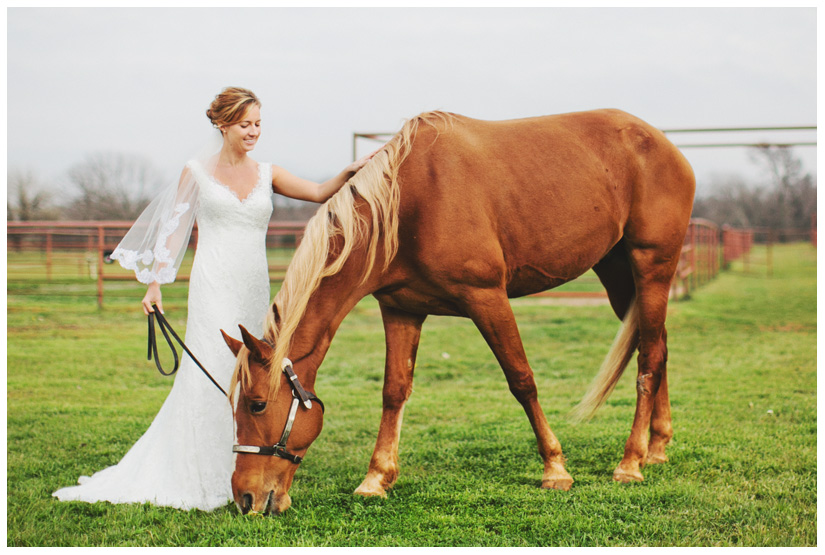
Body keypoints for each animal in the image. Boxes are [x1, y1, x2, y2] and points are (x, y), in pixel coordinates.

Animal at [220, 109, 696, 516]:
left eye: (257, 405)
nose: (244, 497)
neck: (409, 202)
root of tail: (662, 144)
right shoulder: (400, 310)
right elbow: (394, 391)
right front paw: (376, 478)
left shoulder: (487, 298)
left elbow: (522, 380)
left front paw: (555, 468)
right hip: (617, 275)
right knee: (659, 345)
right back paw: (657, 448)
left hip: (652, 266)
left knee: (649, 359)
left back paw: (630, 462)